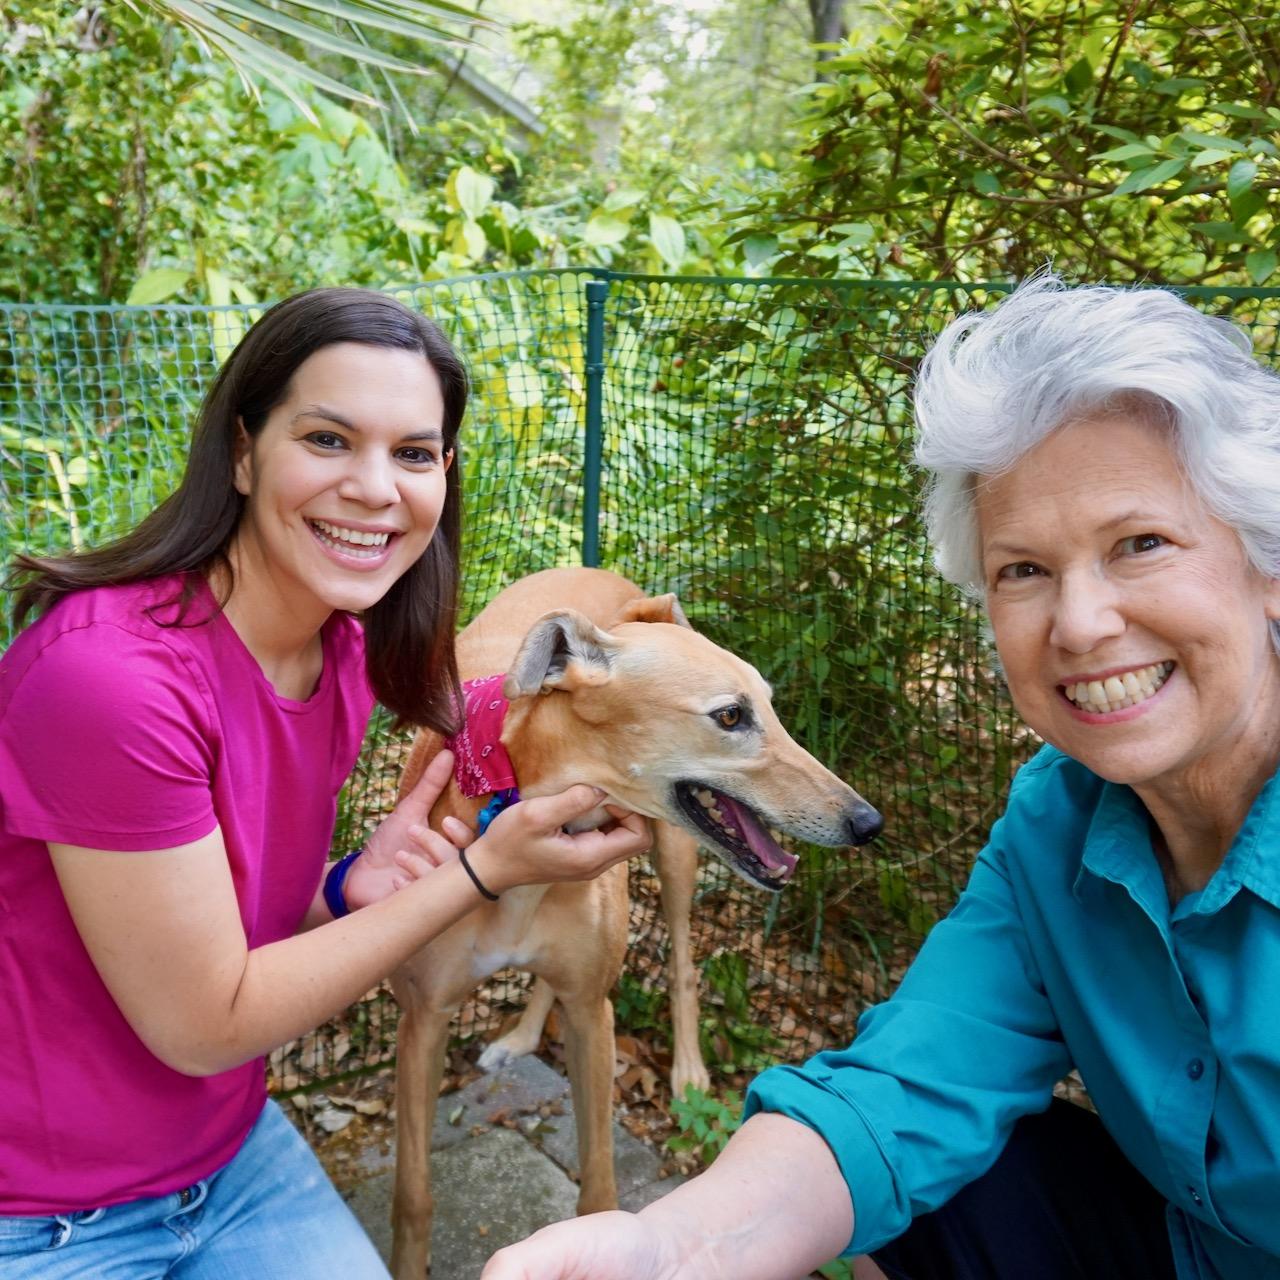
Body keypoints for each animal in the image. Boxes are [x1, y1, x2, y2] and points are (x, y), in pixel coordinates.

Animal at [384, 570, 880, 1280]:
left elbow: (598, 1190)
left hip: (674, 859)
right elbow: (413, 1195)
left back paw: (689, 1072)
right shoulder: (423, 1020)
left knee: (682, 964)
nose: (868, 823)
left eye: (771, 706)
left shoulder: (597, 1018)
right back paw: (521, 1038)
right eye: (731, 716)